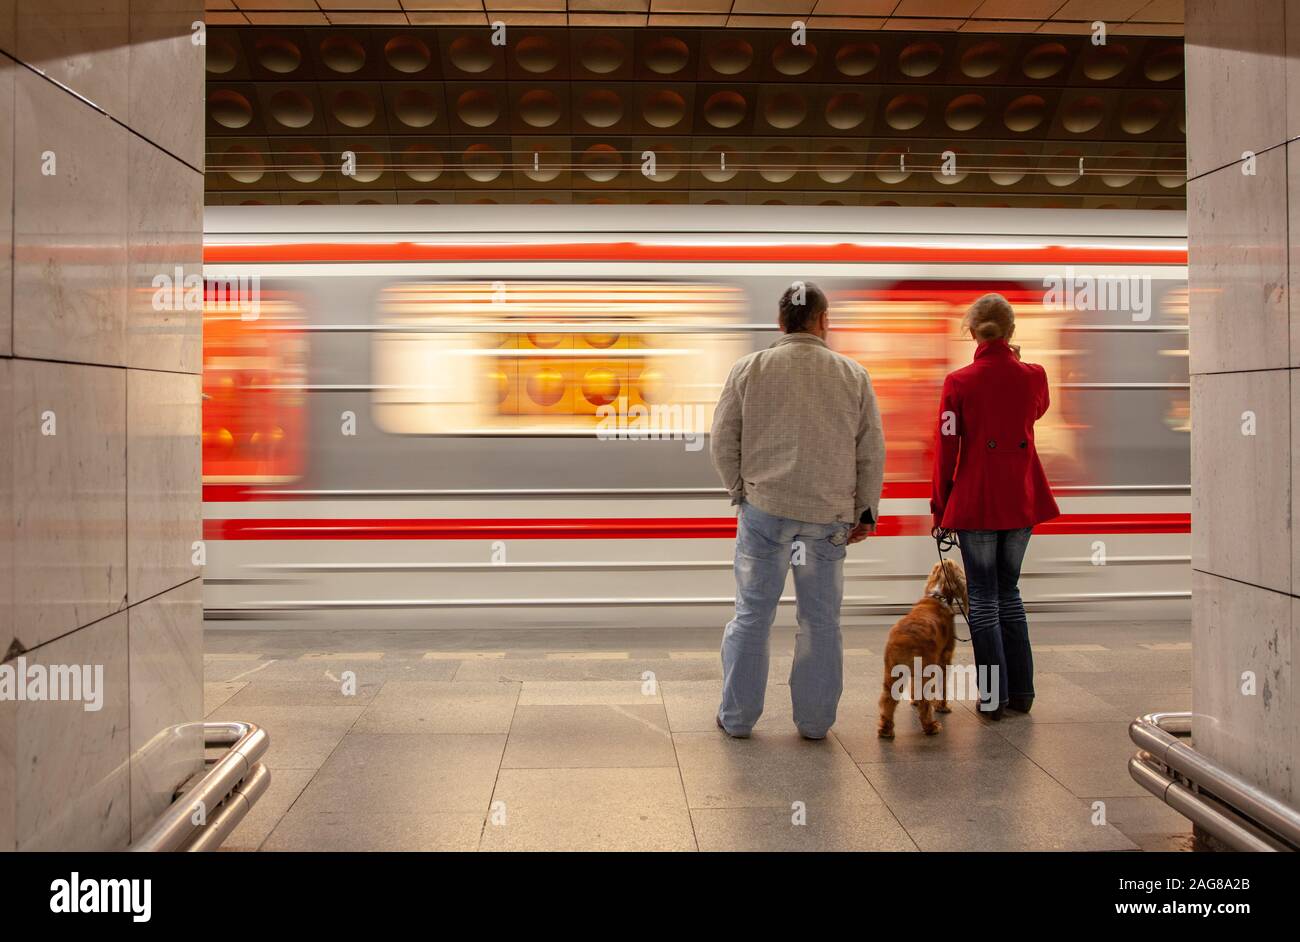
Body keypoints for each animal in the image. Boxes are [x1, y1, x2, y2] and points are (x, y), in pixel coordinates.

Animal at [878, 558, 972, 732]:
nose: (945, 558)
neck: (938, 595)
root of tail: (904, 640)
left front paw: (913, 701)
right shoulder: (944, 657)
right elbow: (942, 685)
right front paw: (942, 706)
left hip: (892, 671)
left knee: (887, 699)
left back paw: (886, 729)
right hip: (926, 669)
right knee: (925, 700)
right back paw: (931, 726)